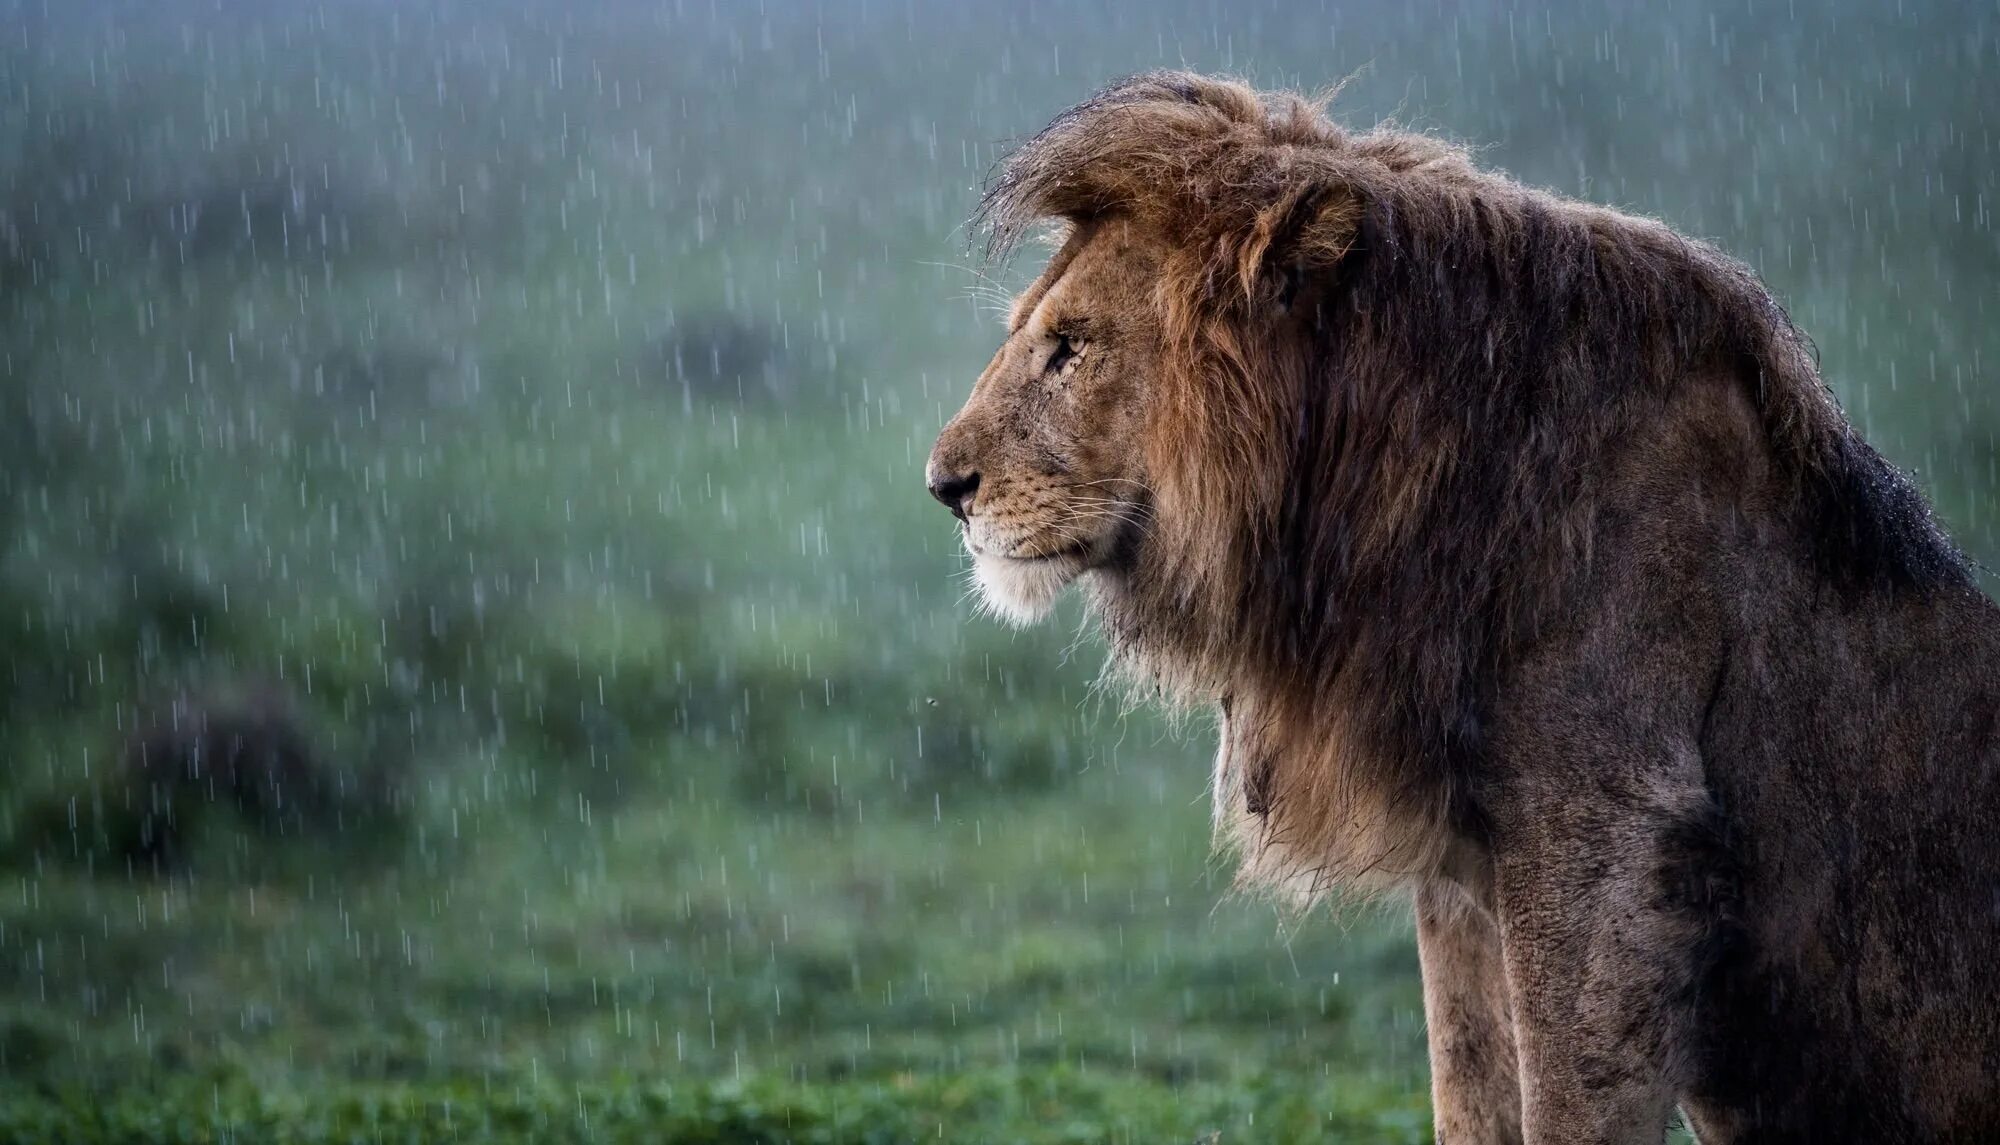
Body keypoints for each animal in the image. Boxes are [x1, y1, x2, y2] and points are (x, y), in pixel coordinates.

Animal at [920, 73, 2000, 1145]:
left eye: (1070, 347)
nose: (942, 486)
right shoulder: (1460, 867)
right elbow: (1470, 1091)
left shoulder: (1604, 842)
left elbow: (1564, 1103)